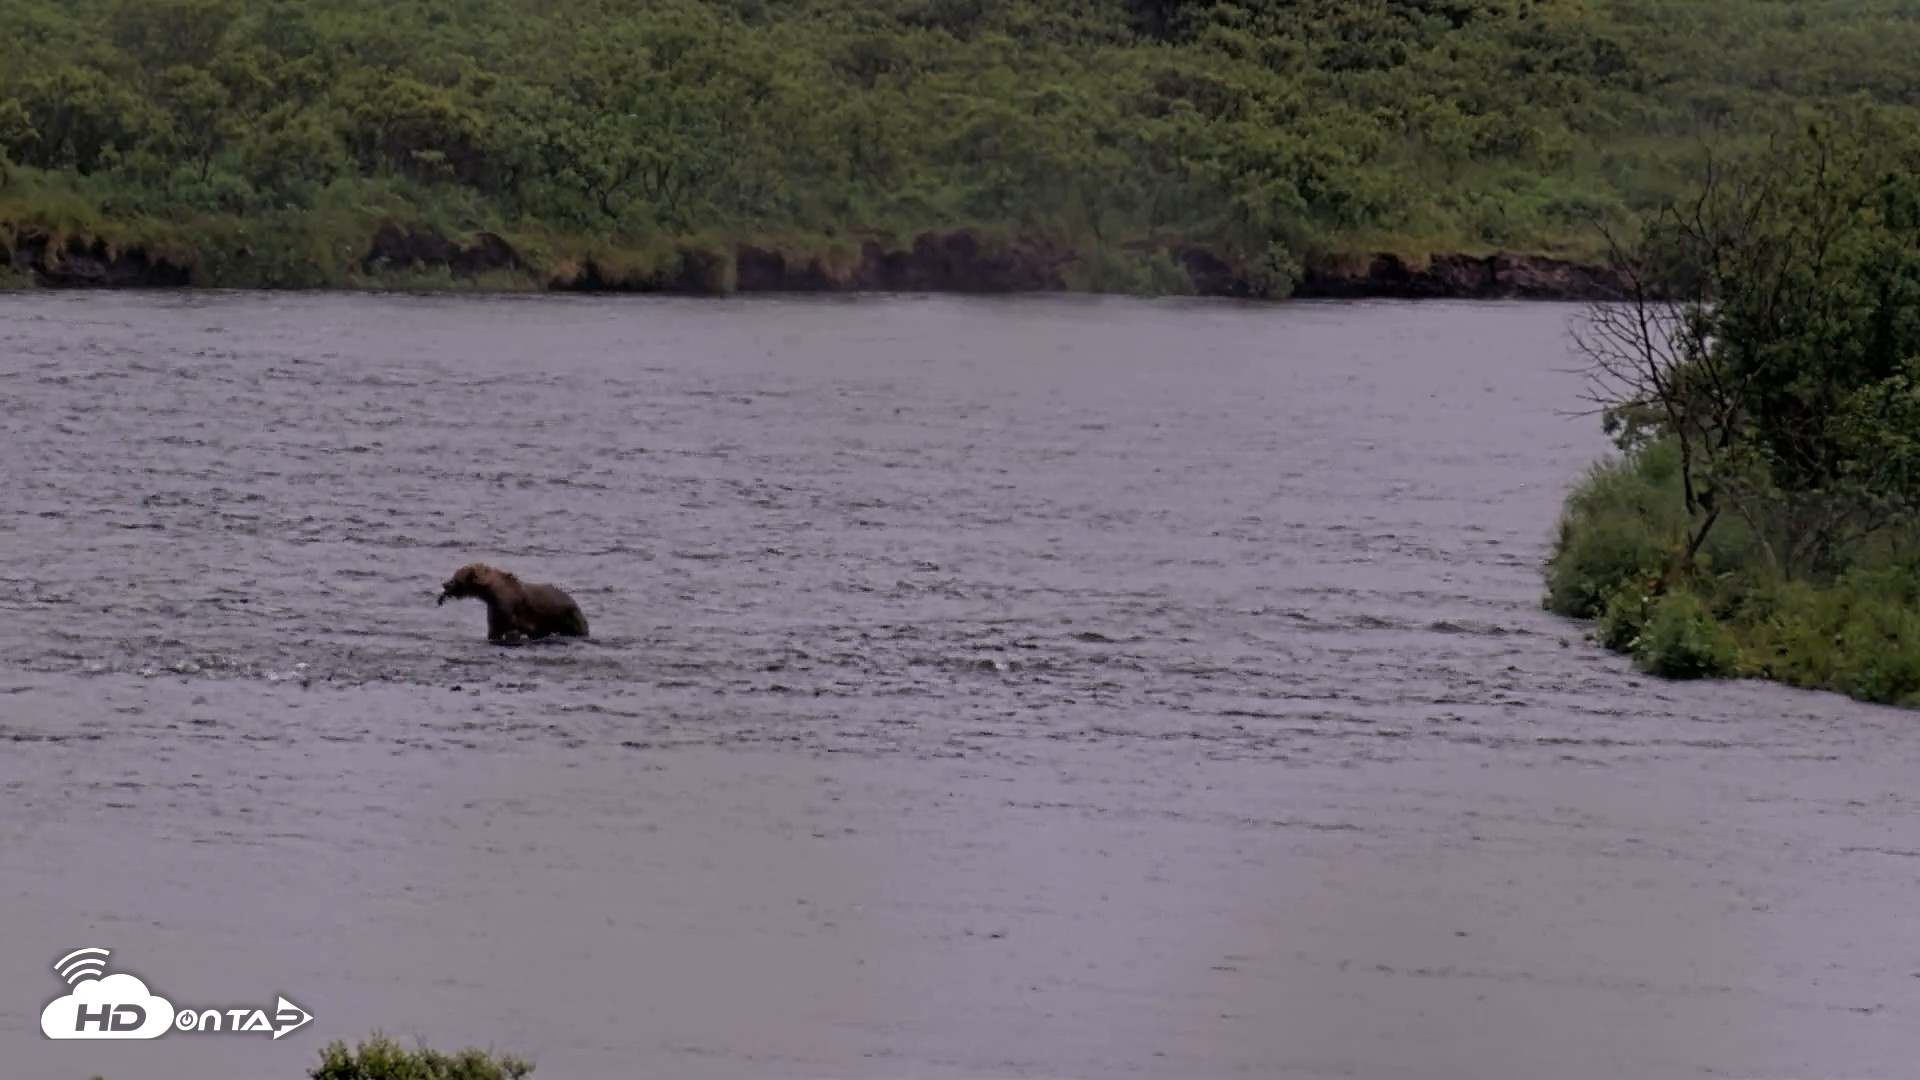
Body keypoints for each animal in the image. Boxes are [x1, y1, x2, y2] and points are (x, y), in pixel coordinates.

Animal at [437, 562, 590, 643]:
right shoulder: (495, 610)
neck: (494, 592)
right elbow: (494, 630)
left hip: (569, 615)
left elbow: (515, 627)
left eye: (455, 578)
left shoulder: (512, 609)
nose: (444, 584)